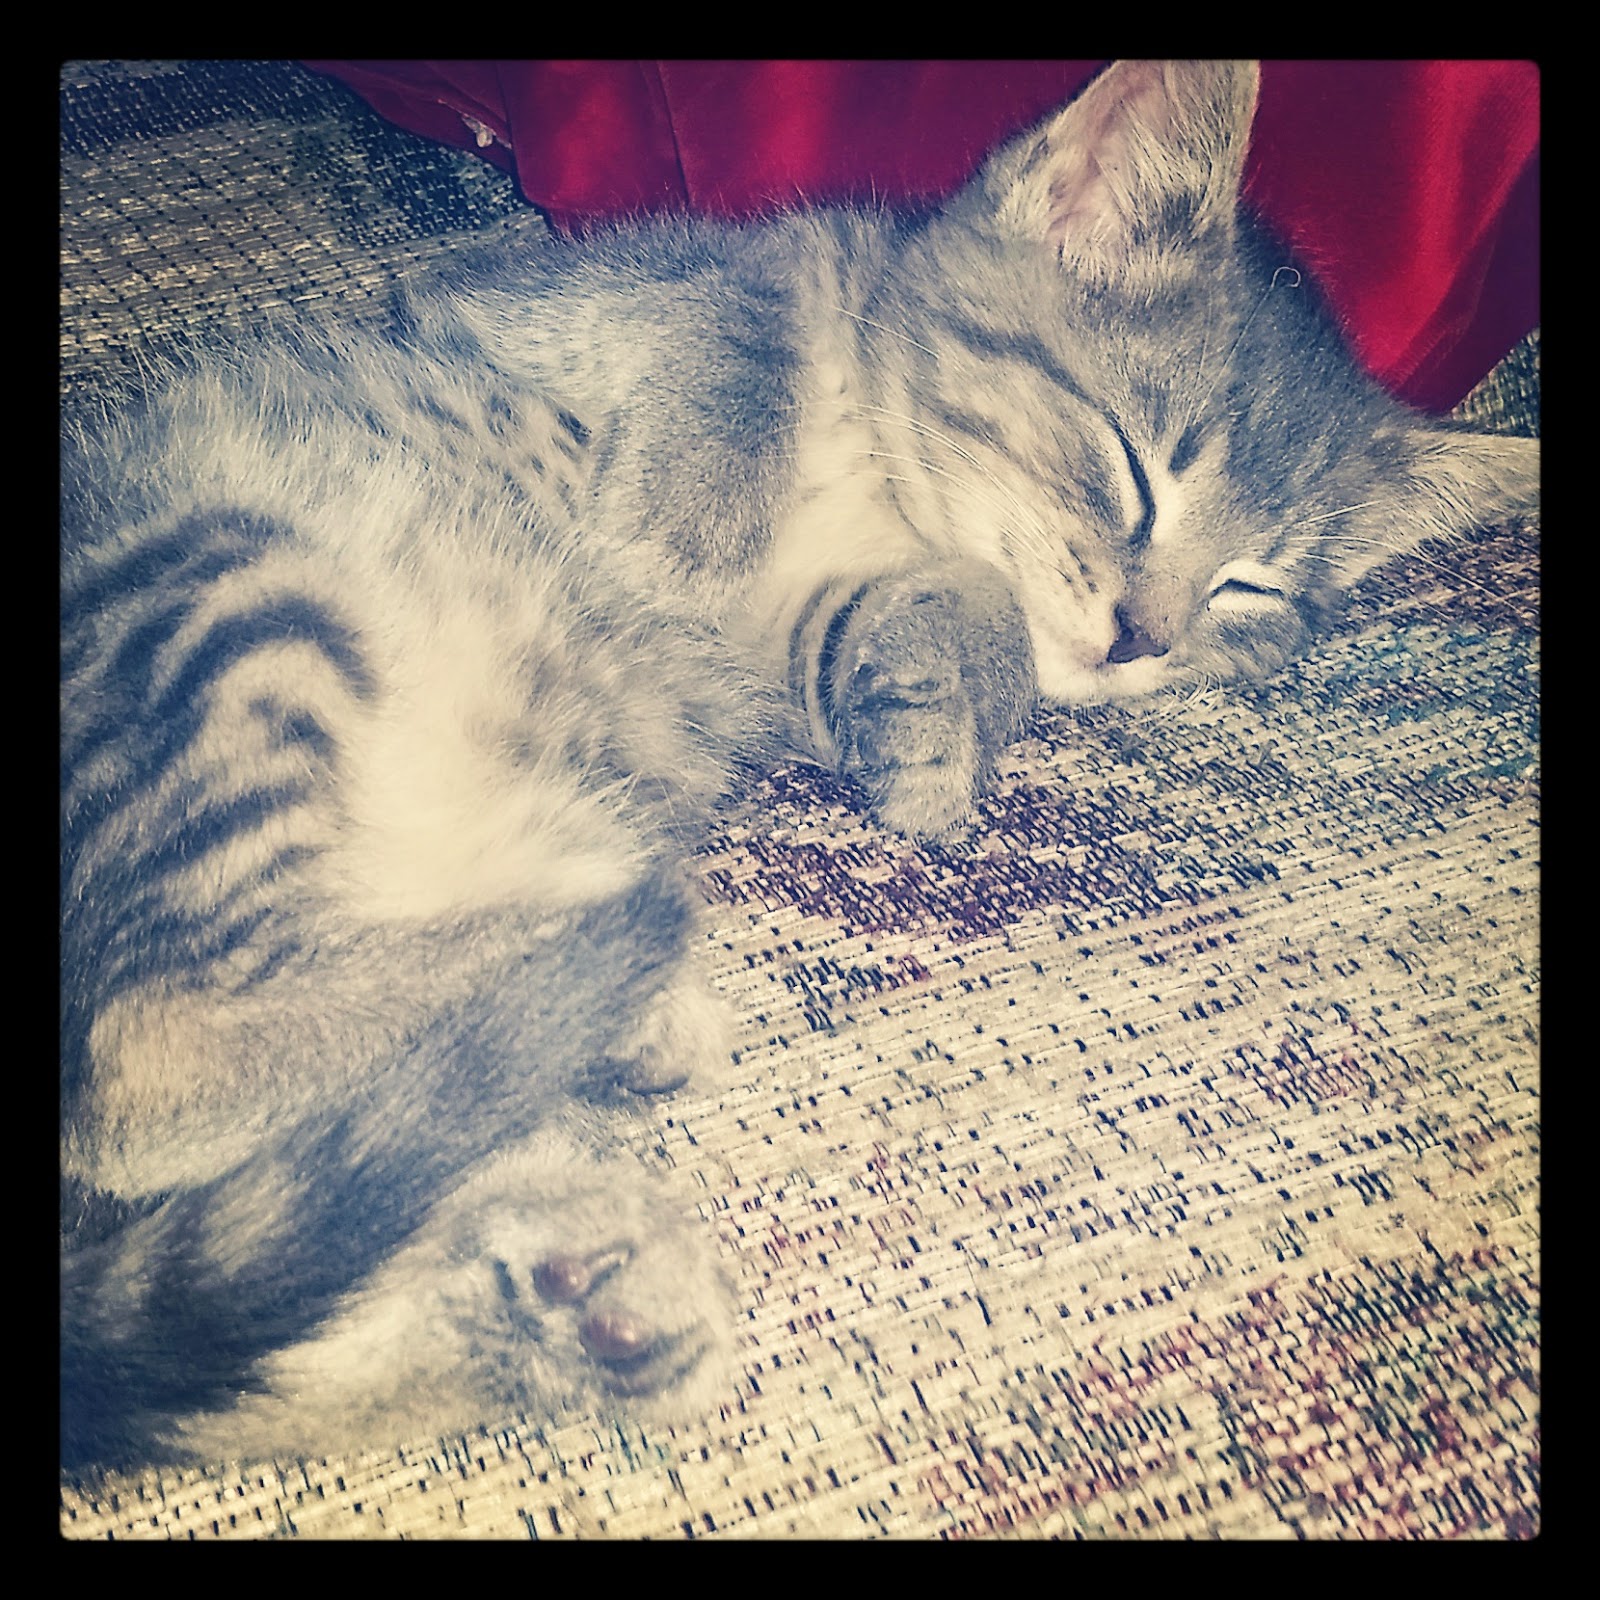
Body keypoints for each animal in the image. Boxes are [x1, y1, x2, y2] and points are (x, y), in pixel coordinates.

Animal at [60, 60, 1538, 1473]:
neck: (873, 469)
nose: (1143, 639)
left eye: (1252, 589)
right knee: (136, 1064)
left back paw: (576, 1291)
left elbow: (930, 623)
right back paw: (625, 1030)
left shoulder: (772, 649)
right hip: (235, 600)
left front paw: (943, 721)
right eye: (1134, 467)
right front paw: (685, 516)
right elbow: (734, 339)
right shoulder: (560, 297)